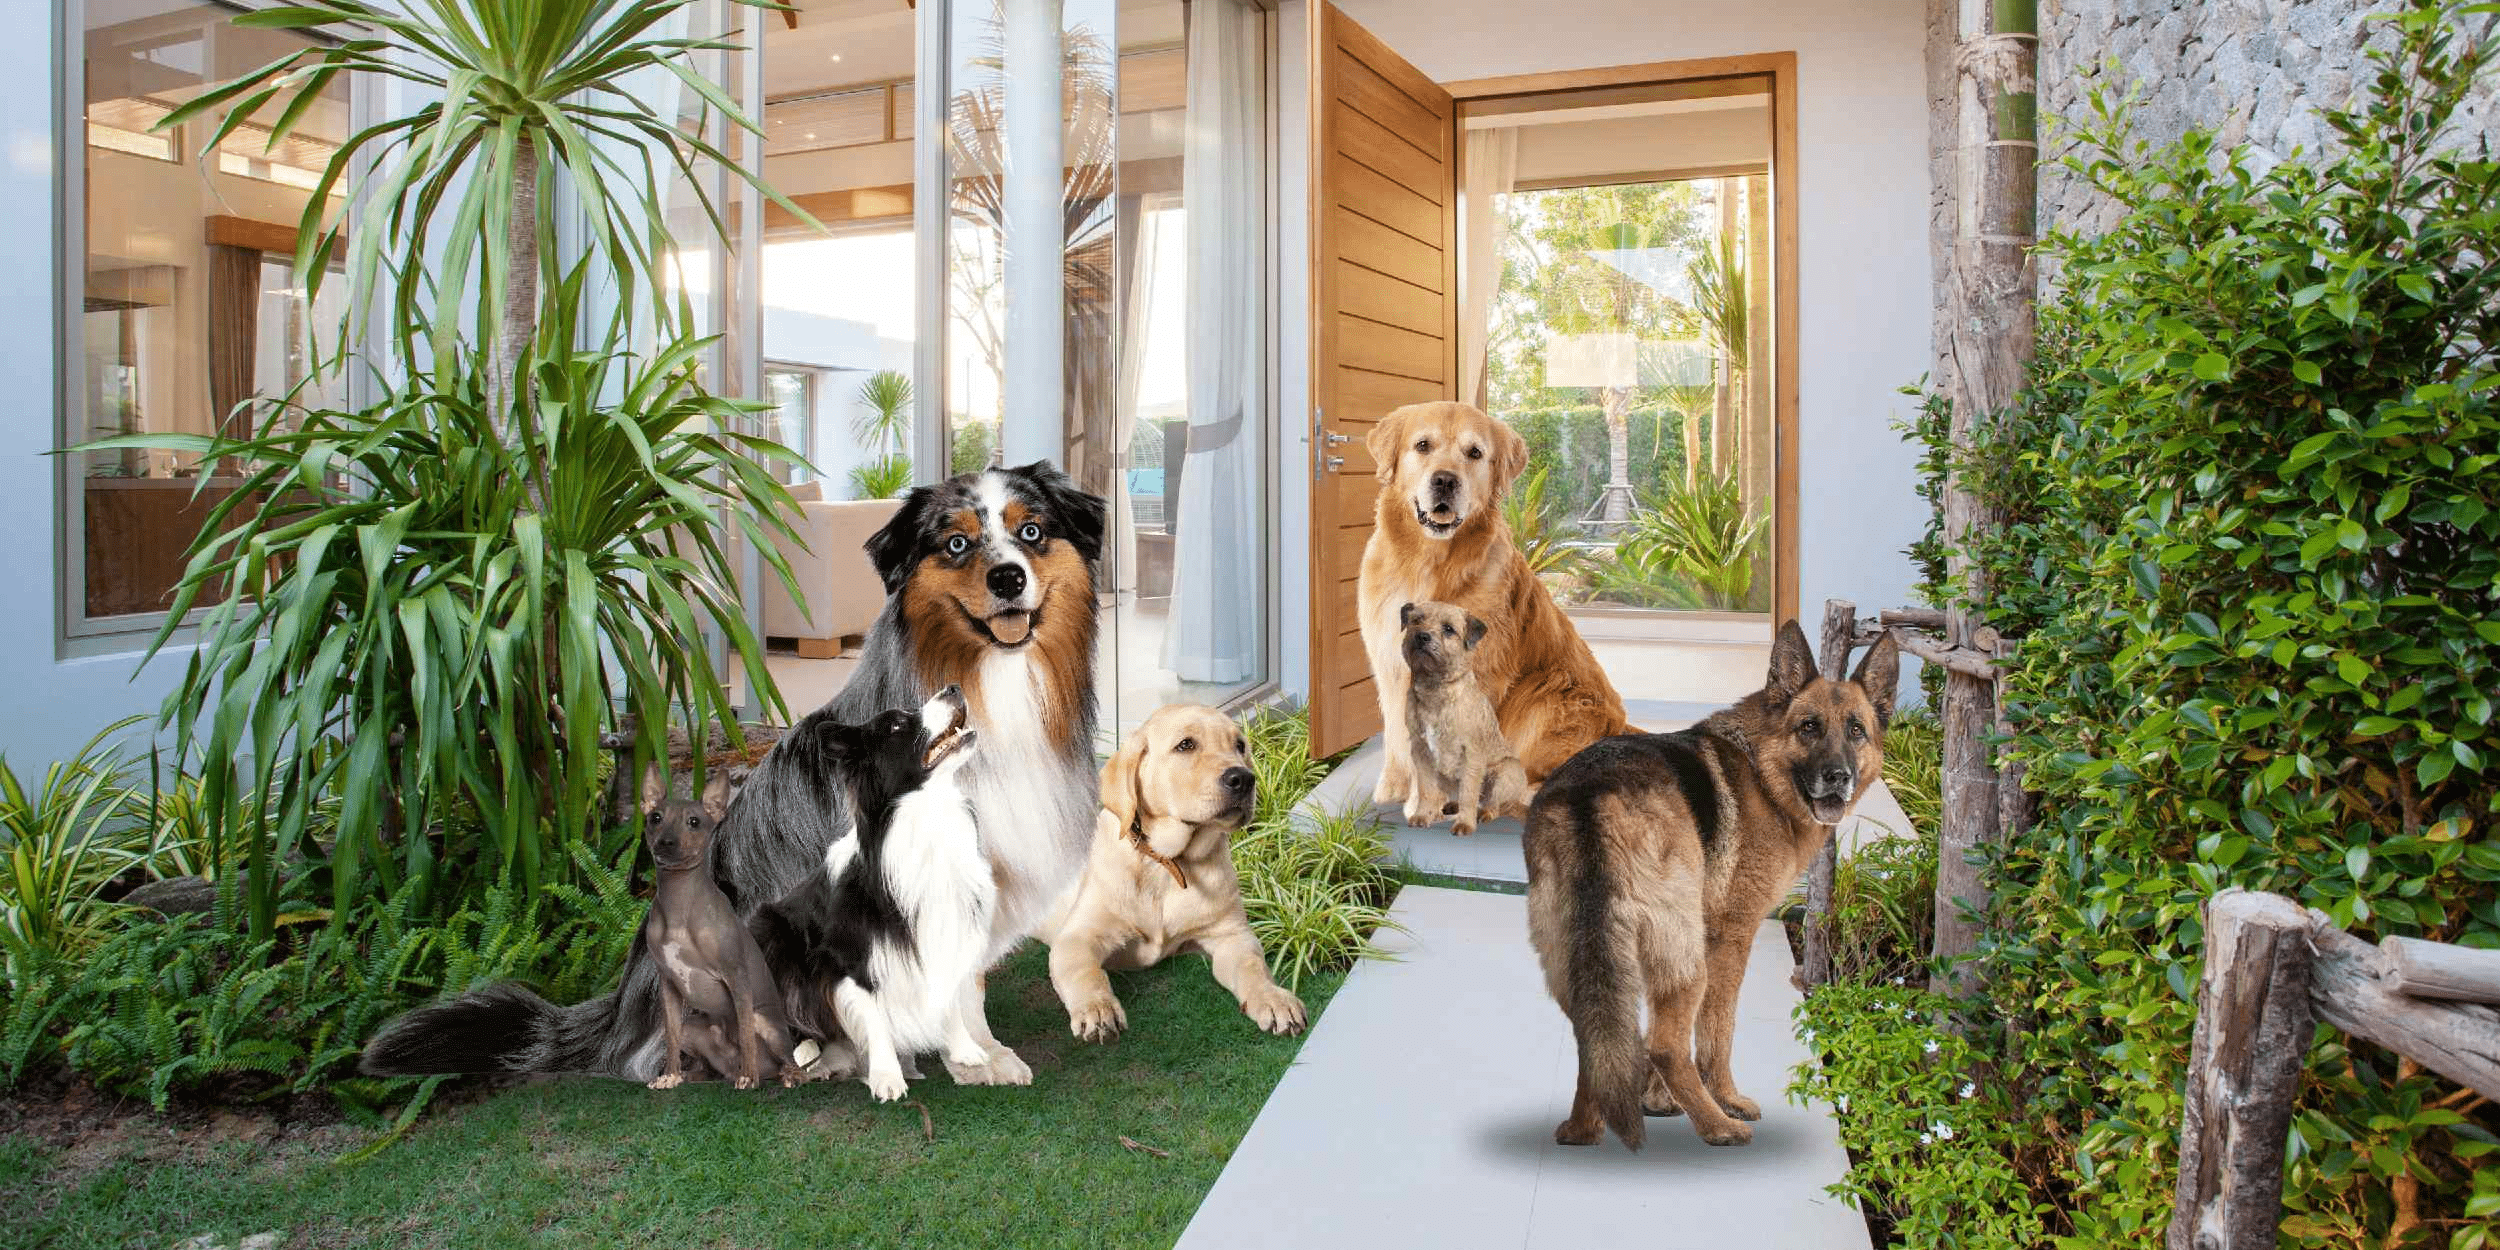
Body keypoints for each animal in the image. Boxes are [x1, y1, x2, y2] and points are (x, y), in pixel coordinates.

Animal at [645, 760, 810, 1085]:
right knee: (706, 1062)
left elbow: (745, 1034)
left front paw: (749, 1078)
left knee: (786, 1057)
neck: (679, 906)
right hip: (694, 1026)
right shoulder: (668, 985)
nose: (666, 842)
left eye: (694, 822)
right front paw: (670, 1075)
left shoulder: (737, 976)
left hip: (767, 1025)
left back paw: (783, 1075)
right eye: (655, 818)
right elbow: (670, 1036)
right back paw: (695, 1075)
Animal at [1040, 710, 1310, 1040]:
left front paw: (1272, 998)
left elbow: (1252, 966)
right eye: (1185, 745)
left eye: (1240, 746)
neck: (1166, 863)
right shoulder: (1078, 936)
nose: (1244, 779)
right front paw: (1097, 1007)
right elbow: (1085, 972)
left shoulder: (1231, 935)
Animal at [1400, 600, 1530, 835]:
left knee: (1493, 803)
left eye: (1448, 629)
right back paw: (1446, 807)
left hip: (1507, 772)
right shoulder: (1421, 752)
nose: (1422, 636)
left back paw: (1484, 813)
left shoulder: (1472, 754)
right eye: (1416, 620)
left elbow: (1469, 792)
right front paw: (1422, 815)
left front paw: (1465, 824)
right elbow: (1426, 789)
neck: (1436, 688)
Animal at [1520, 625, 1890, 1150]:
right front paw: (1724, 1099)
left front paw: (1656, 1102)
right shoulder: (1732, 936)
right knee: (1666, 1044)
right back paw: (1718, 1126)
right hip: (1685, 956)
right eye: (1809, 727)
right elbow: (1718, 1030)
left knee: (1597, 1036)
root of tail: (1591, 793)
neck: (1763, 769)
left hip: (1578, 956)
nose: (1838, 777)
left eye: (1856, 730)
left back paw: (1583, 1128)